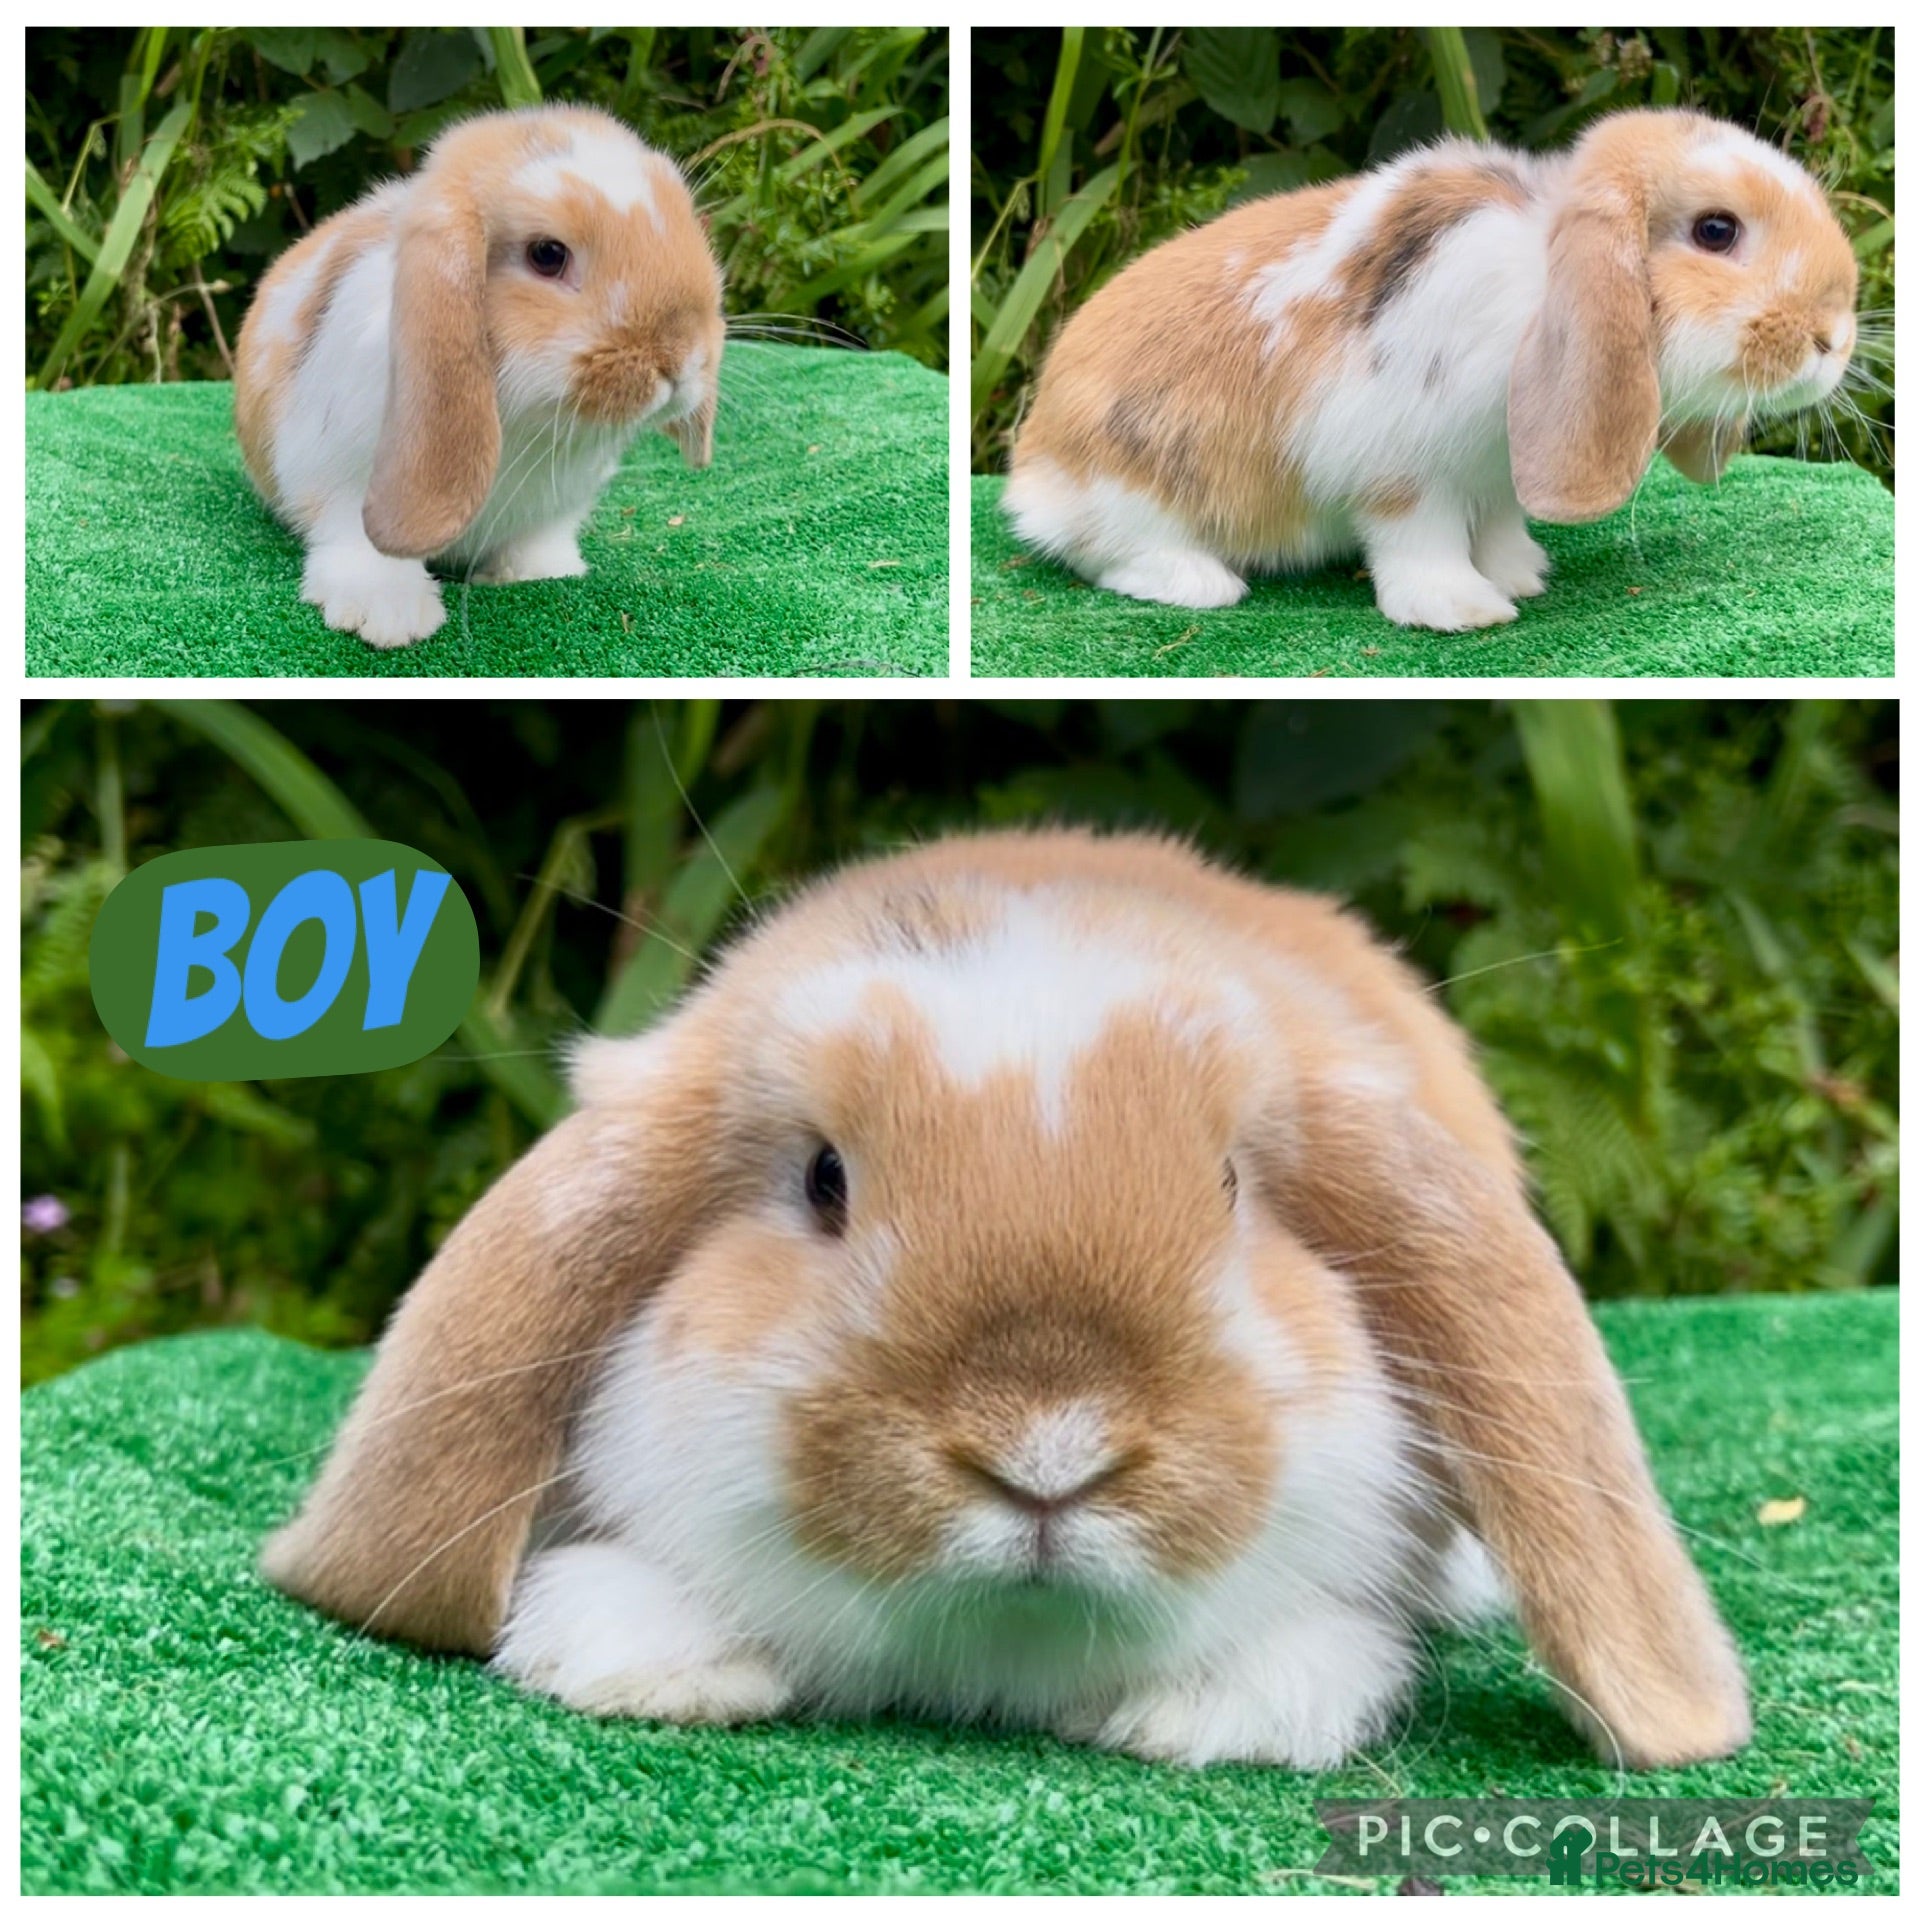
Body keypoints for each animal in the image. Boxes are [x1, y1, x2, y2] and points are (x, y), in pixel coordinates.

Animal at [233, 106, 724, 649]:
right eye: (547, 254)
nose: (680, 358)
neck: (524, 423)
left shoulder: (556, 508)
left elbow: (539, 543)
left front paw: (541, 573)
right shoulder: (337, 480)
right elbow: (360, 545)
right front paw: (389, 617)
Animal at [1004, 108, 1860, 630]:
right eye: (1716, 230)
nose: (1835, 338)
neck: (1537, 288)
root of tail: (1032, 462)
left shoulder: (1501, 469)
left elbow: (1502, 523)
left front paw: (1521, 575)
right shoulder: (1403, 468)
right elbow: (1420, 539)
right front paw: (1462, 609)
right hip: (1131, 487)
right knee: (1104, 551)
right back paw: (1202, 583)